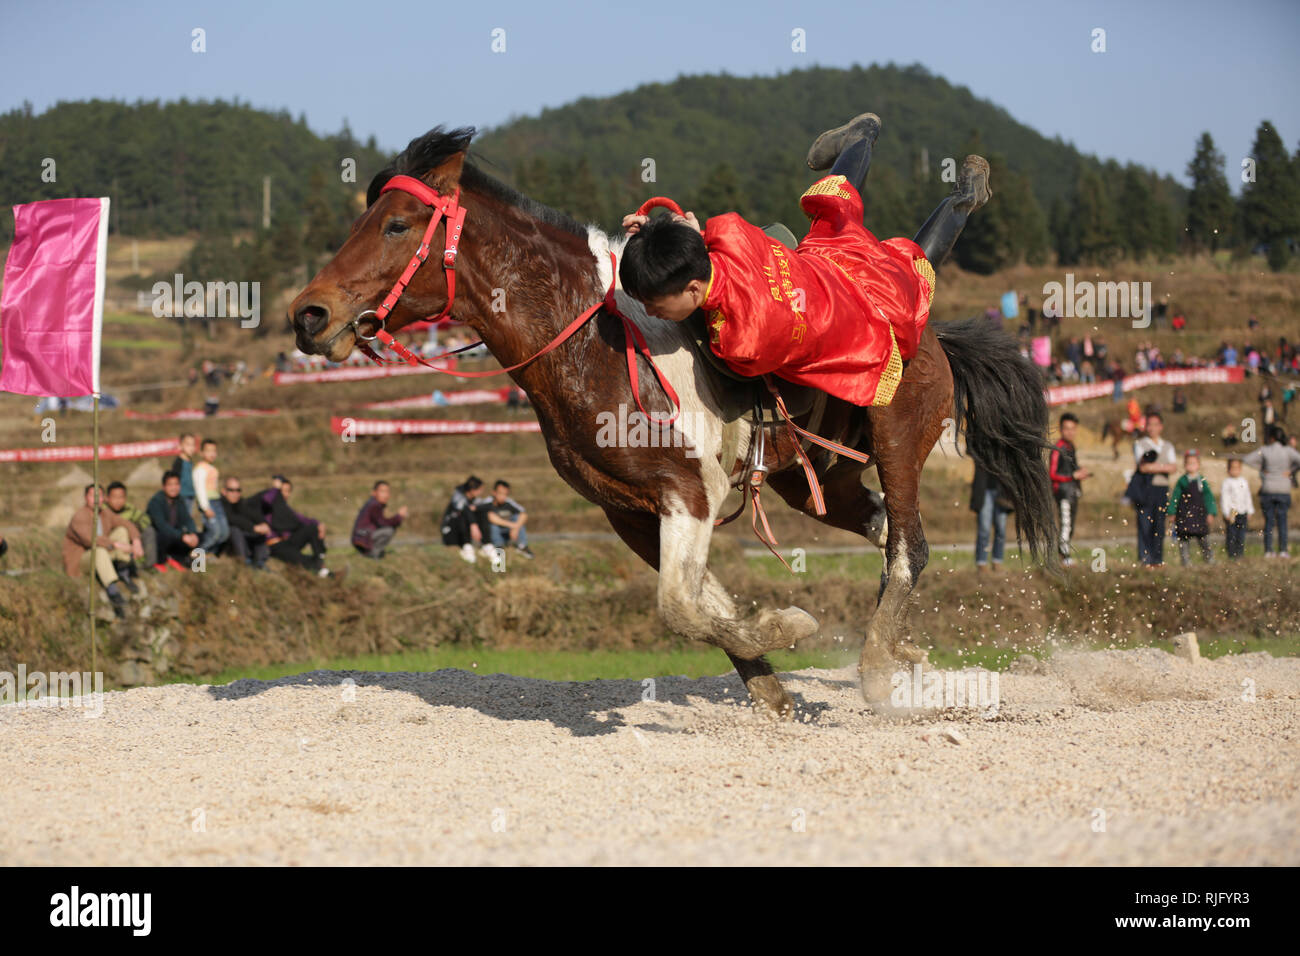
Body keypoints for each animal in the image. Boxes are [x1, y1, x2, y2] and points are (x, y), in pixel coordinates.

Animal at [287, 127, 1055, 712]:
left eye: (394, 224)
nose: (308, 315)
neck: (594, 341)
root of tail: (930, 331)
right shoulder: (630, 509)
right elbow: (699, 605)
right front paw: (771, 685)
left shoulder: (689, 491)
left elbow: (682, 607)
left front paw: (787, 624)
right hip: (817, 476)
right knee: (878, 526)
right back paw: (902, 646)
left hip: (898, 434)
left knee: (908, 548)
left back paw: (873, 665)